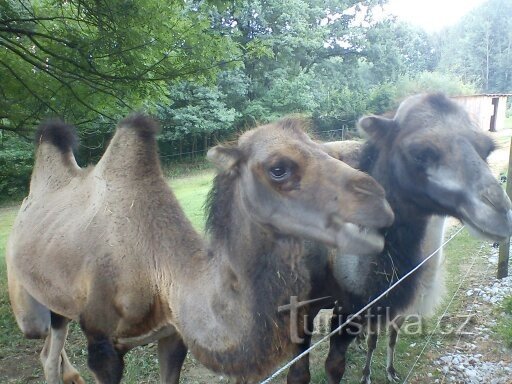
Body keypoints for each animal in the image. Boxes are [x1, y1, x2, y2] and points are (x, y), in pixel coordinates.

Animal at [6, 115, 394, 384]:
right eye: (278, 169)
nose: (379, 201)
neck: (159, 271)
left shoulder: (172, 336)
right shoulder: (102, 344)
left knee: (49, 349)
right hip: (27, 303)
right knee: (43, 343)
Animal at [286, 94, 512, 384]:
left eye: (487, 150)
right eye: (421, 152)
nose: (500, 212)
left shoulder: (358, 308)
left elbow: (337, 364)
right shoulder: (306, 305)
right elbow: (299, 372)